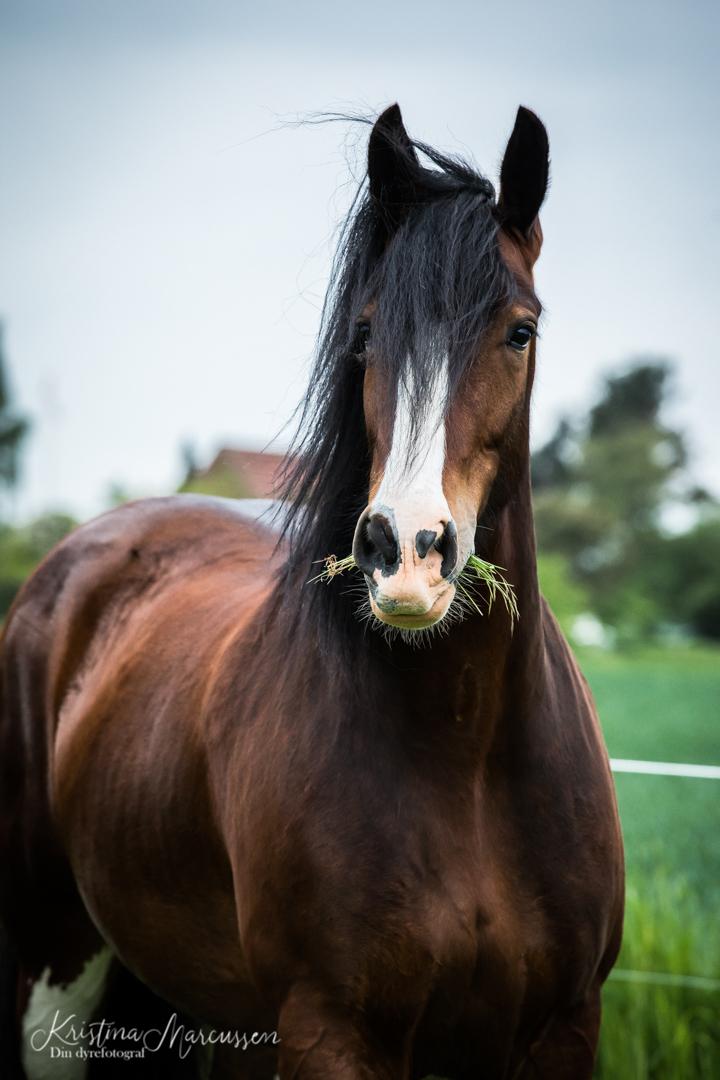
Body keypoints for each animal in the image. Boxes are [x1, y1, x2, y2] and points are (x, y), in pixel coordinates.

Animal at [0, 103, 626, 1080]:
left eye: (520, 331)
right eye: (365, 337)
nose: (406, 552)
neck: (467, 760)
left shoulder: (562, 1028)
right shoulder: (331, 1029)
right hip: (53, 964)